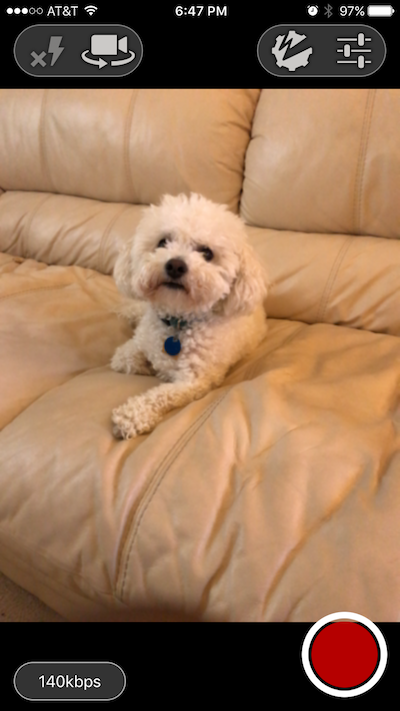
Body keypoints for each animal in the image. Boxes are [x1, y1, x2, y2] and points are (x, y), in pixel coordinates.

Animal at [110, 193, 268, 439]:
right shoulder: (135, 346)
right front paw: (150, 366)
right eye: (163, 242)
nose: (175, 265)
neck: (177, 322)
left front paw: (131, 416)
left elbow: (161, 394)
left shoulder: (194, 382)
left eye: (206, 253)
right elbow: (124, 359)